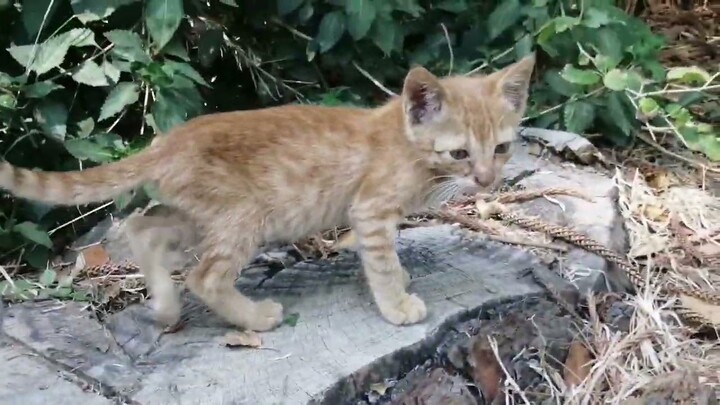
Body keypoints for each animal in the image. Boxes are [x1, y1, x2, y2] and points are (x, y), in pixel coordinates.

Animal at [0, 54, 536, 332]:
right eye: (460, 154)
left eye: (501, 148)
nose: (486, 180)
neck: (405, 143)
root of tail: (169, 139)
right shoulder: (370, 209)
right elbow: (381, 262)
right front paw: (397, 304)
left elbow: (388, 258)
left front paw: (400, 282)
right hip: (244, 217)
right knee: (204, 275)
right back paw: (254, 318)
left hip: (199, 213)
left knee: (141, 226)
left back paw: (165, 307)